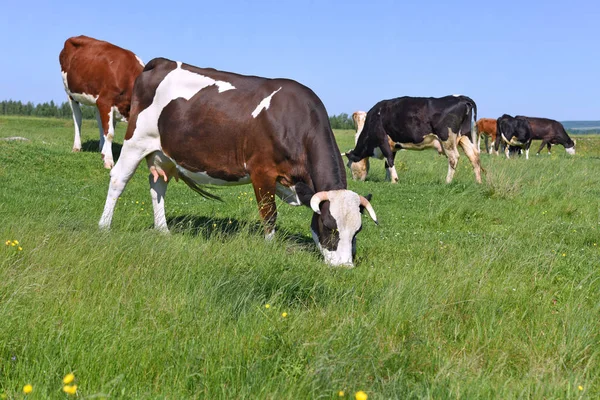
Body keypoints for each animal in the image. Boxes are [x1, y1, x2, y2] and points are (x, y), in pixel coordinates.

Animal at [59, 36, 145, 169]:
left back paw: (101, 148)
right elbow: (109, 133)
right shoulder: (105, 101)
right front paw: (108, 160)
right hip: (70, 93)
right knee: (77, 118)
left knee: (99, 121)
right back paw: (77, 147)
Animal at [100, 57, 378, 268]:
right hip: (136, 141)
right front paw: (270, 247)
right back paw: (104, 227)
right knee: (118, 180)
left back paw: (163, 231)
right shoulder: (262, 172)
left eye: (358, 230)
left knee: (158, 187)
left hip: (163, 153)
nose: (345, 267)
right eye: (330, 227)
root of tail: (161, 62)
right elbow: (269, 214)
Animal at [344, 96, 480, 184]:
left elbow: (389, 160)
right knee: (474, 157)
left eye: (348, 165)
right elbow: (387, 163)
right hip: (465, 136)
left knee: (454, 158)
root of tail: (461, 98)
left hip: (447, 139)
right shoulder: (392, 145)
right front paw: (388, 180)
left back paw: (447, 182)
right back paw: (478, 183)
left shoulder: (382, 139)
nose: (355, 182)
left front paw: (394, 180)